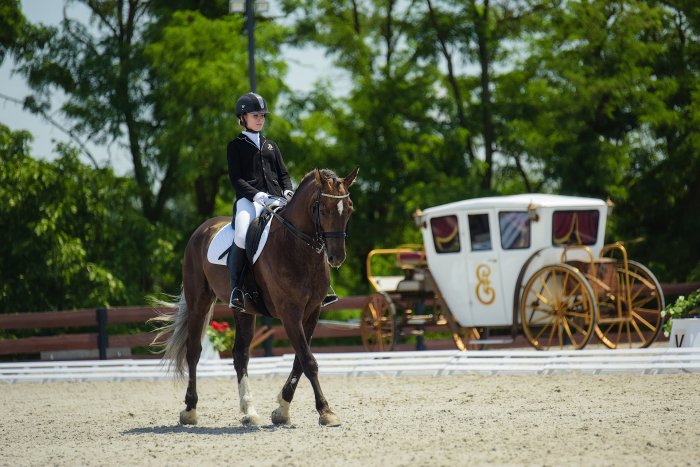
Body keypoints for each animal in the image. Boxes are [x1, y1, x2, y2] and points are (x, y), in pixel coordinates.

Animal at [151, 167, 359, 427]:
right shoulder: (290, 313)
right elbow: (308, 361)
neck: (296, 246)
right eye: (323, 210)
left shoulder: (312, 312)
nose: (336, 257)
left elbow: (299, 360)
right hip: (199, 302)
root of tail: (203, 229)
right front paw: (325, 411)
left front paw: (282, 409)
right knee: (193, 352)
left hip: (244, 311)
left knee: (240, 354)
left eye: (349, 208)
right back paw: (190, 410)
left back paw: (249, 411)